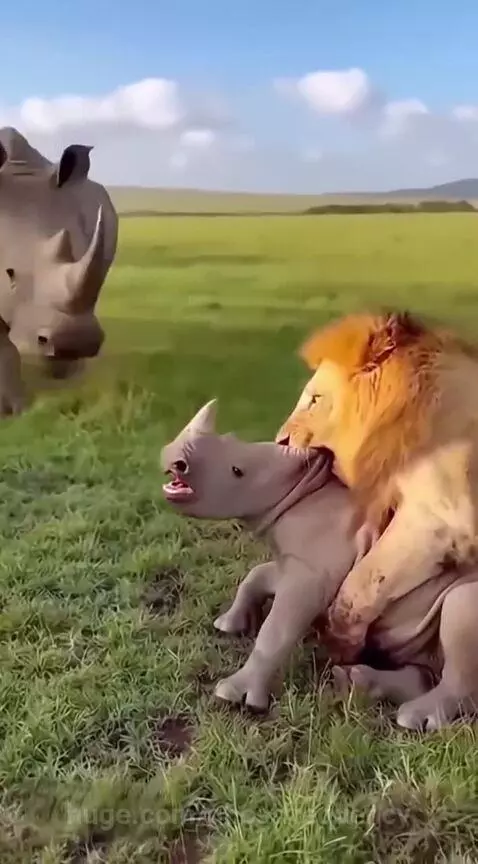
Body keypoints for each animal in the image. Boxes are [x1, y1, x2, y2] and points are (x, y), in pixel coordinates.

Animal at [161, 399, 478, 731]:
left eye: (238, 471)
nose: (175, 460)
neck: (300, 487)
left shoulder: (314, 570)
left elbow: (278, 628)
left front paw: (235, 696)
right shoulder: (302, 562)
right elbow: (259, 576)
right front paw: (227, 625)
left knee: (461, 606)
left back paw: (411, 718)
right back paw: (352, 681)